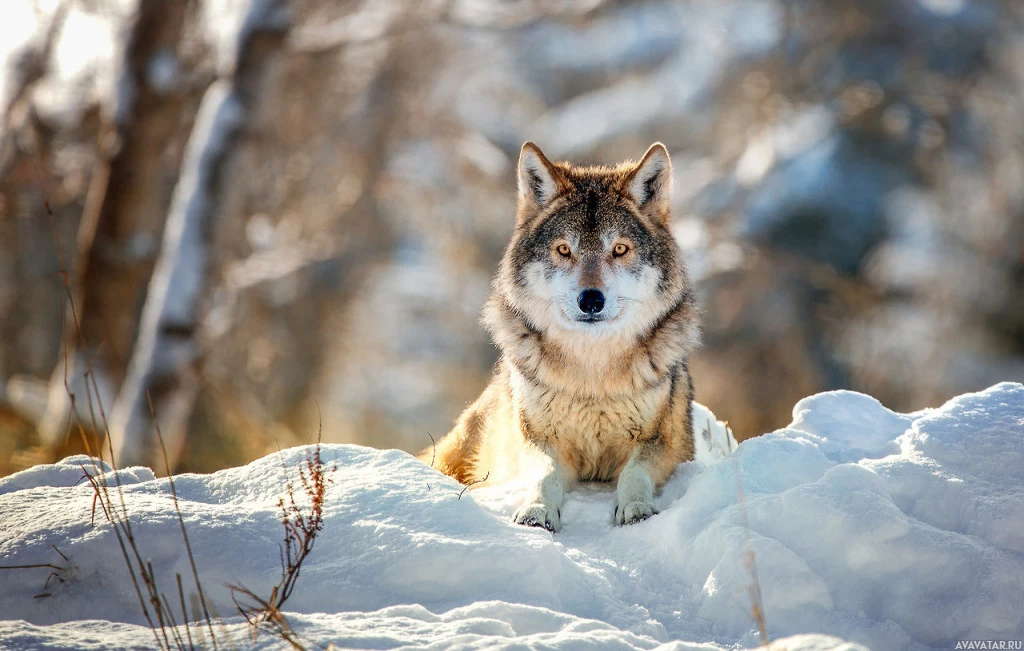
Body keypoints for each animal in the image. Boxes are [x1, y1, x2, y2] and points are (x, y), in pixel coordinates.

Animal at [419, 141, 700, 528]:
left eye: (620, 249)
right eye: (565, 249)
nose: (591, 299)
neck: (592, 379)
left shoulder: (664, 444)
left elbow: (634, 474)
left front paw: (636, 509)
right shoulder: (537, 440)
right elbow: (545, 476)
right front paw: (537, 511)